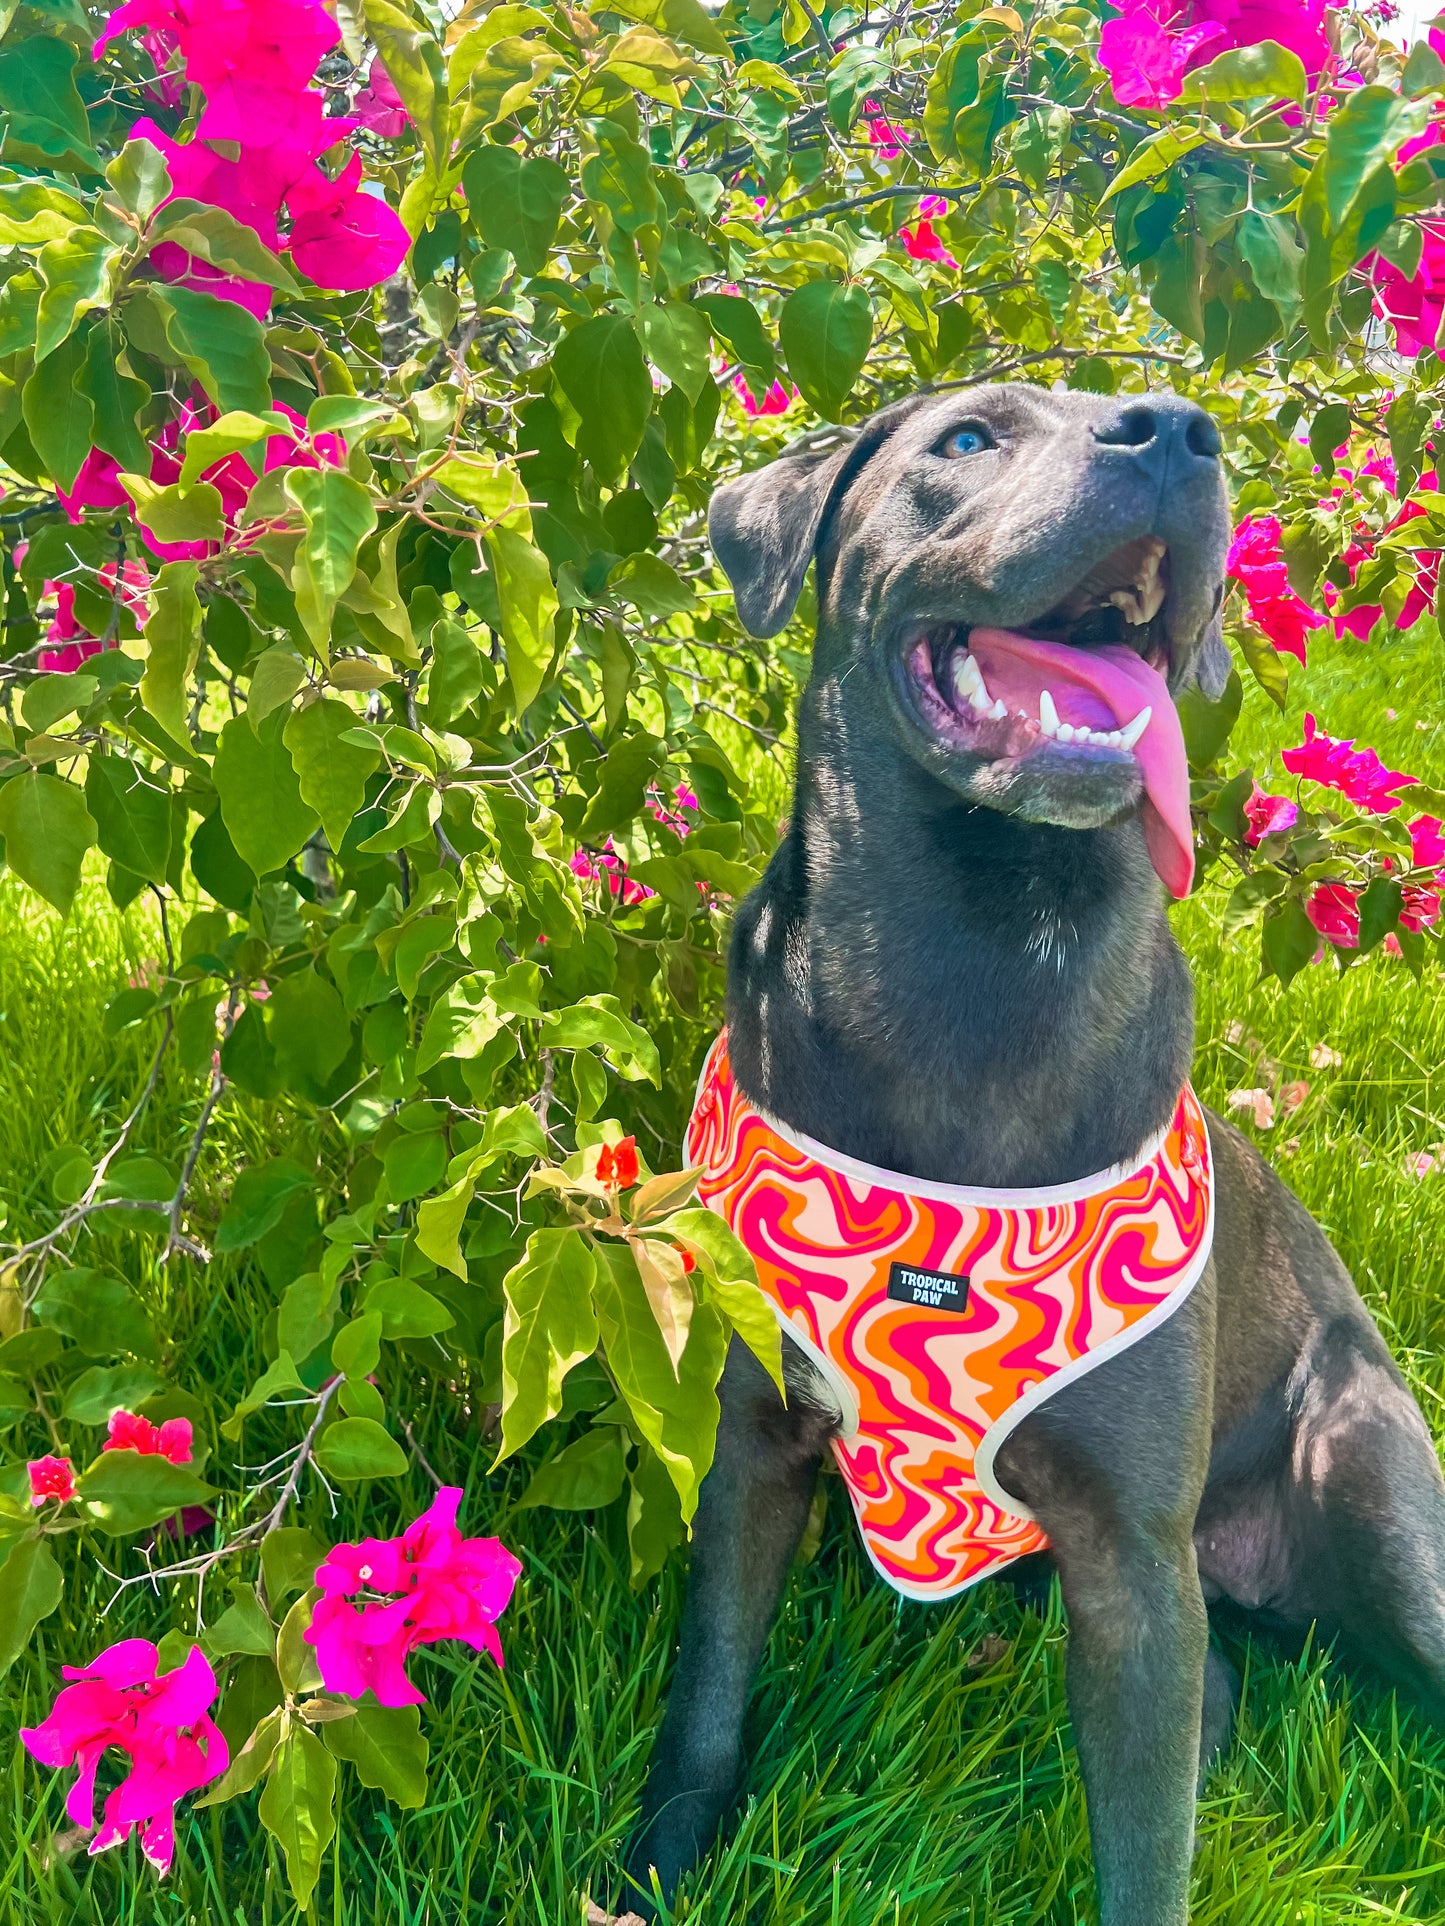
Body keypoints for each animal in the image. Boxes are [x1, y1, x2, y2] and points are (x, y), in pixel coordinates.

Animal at [624, 379, 1445, 1926]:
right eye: (965, 439)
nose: (1177, 429)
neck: (987, 961)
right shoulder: (750, 1452)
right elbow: (703, 1692)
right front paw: (649, 1872)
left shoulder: (1131, 1563)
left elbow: (1144, 1855)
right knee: (1220, 1683)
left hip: (1361, 1480)